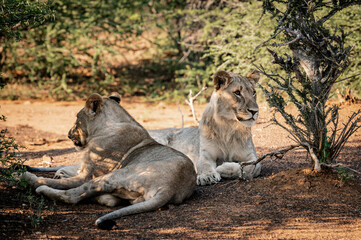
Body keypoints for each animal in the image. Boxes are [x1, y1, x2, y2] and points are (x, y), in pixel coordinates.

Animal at [16, 92, 195, 229]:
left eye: (77, 119)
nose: (68, 134)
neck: (109, 125)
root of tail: (170, 188)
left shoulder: (88, 175)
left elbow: (57, 181)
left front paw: (27, 176)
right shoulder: (86, 167)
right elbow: (68, 167)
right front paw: (58, 172)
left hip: (116, 174)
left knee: (73, 195)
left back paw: (38, 187)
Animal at [27, 69, 258, 186]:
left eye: (253, 92)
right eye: (237, 93)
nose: (255, 111)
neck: (230, 126)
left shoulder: (251, 156)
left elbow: (251, 167)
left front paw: (226, 169)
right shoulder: (205, 155)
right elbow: (205, 166)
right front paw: (209, 175)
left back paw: (63, 174)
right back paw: (62, 173)